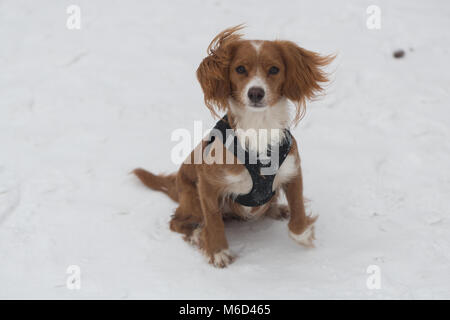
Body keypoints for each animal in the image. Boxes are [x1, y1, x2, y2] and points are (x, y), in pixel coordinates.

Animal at [132, 25, 332, 268]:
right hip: (192, 198)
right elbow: (214, 221)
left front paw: (302, 234)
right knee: (177, 221)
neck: (258, 127)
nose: (255, 92)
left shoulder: (293, 171)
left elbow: (298, 207)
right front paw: (217, 251)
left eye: (274, 69)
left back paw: (277, 209)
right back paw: (197, 234)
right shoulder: (207, 184)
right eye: (240, 69)